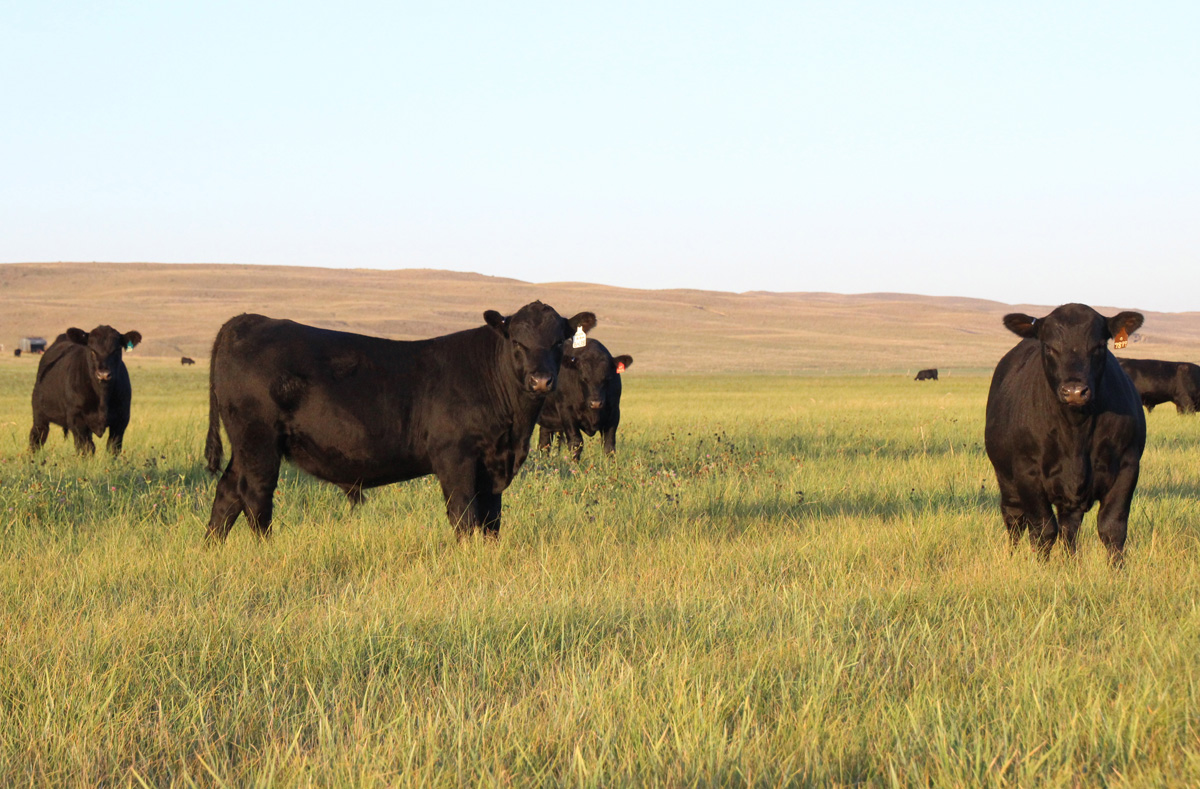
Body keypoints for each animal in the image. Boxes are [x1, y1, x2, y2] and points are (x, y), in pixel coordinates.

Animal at [29, 325, 143, 456]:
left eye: (116, 350)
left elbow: (113, 448)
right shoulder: (77, 420)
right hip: (39, 415)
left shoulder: (121, 419)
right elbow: (86, 448)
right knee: (37, 438)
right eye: (92, 350)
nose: (103, 374)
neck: (102, 397)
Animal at [203, 302, 596, 543]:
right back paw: (264, 550)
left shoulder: (493, 464)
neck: (514, 431)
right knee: (255, 496)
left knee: (227, 493)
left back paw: (212, 548)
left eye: (559, 341)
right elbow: (464, 515)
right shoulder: (454, 457)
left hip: (246, 446)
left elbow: (491, 520)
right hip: (259, 441)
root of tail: (246, 320)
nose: (541, 380)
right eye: (517, 341)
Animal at [984, 303, 1145, 565]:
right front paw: (1041, 570)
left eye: (1099, 346)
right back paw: (1011, 557)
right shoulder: (1027, 471)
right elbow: (1043, 530)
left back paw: (1071, 563)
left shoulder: (1127, 466)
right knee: (1014, 518)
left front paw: (1118, 571)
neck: (1076, 431)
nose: (1075, 391)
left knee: (1070, 527)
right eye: (1049, 347)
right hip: (1005, 477)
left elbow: (1112, 528)